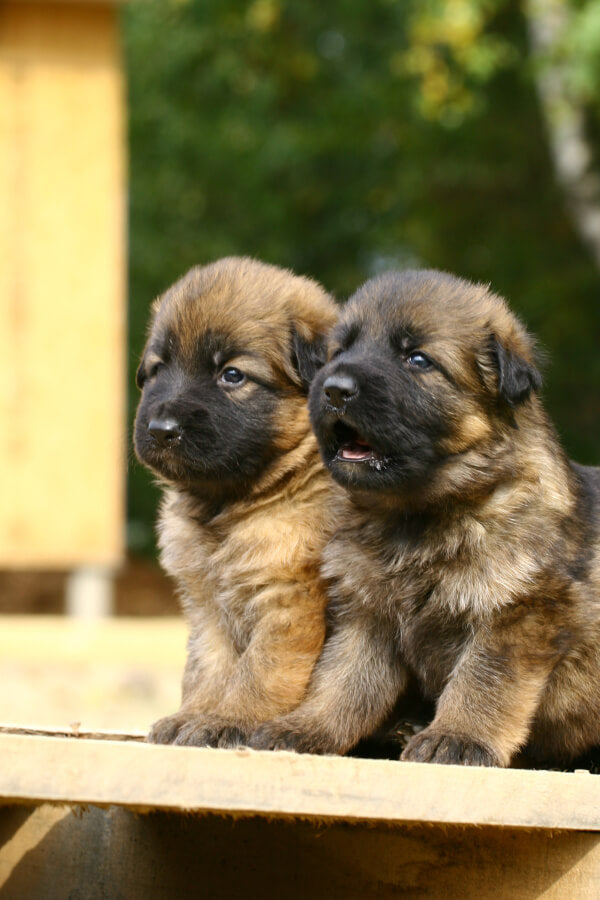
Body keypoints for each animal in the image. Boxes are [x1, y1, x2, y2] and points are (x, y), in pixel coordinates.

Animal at [137, 255, 342, 744]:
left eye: (232, 375)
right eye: (157, 370)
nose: (160, 430)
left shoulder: (288, 600)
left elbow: (261, 671)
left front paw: (230, 720)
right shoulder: (207, 604)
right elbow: (208, 667)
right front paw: (193, 716)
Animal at [251, 268, 600, 768]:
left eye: (417, 359)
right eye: (340, 352)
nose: (334, 389)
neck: (417, 514)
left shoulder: (519, 614)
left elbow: (482, 682)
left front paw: (458, 736)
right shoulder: (367, 617)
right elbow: (341, 682)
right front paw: (305, 727)